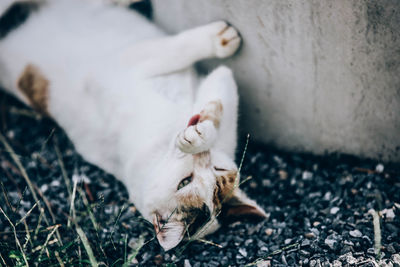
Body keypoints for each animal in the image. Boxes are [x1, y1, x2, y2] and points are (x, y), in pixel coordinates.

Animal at [0, 0, 266, 251]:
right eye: (185, 182)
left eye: (218, 170)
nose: (204, 158)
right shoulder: (133, 63)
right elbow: (180, 53)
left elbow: (216, 95)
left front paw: (199, 129)